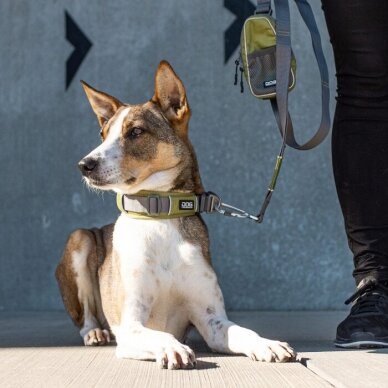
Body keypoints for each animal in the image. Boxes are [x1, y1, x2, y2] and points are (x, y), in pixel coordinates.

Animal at [55, 59, 298, 368]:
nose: (84, 164)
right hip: (80, 239)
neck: (159, 214)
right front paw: (172, 348)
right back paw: (95, 332)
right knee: (86, 316)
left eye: (136, 132)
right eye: (103, 135)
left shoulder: (212, 320)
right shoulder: (131, 325)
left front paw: (268, 344)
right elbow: (160, 335)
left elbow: (244, 332)